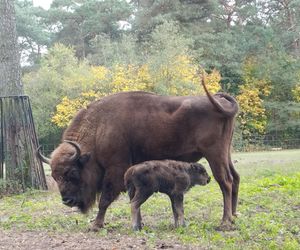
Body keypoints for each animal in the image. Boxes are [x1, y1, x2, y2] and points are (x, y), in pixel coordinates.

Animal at [37, 77, 239, 231]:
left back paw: (225, 222)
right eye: (54, 176)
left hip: (214, 154)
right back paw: (234, 216)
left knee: (225, 181)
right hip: (225, 153)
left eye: (72, 172)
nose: (67, 200)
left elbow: (105, 199)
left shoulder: (116, 169)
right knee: (235, 178)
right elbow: (133, 199)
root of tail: (220, 102)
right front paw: (138, 224)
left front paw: (96, 225)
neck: (99, 128)